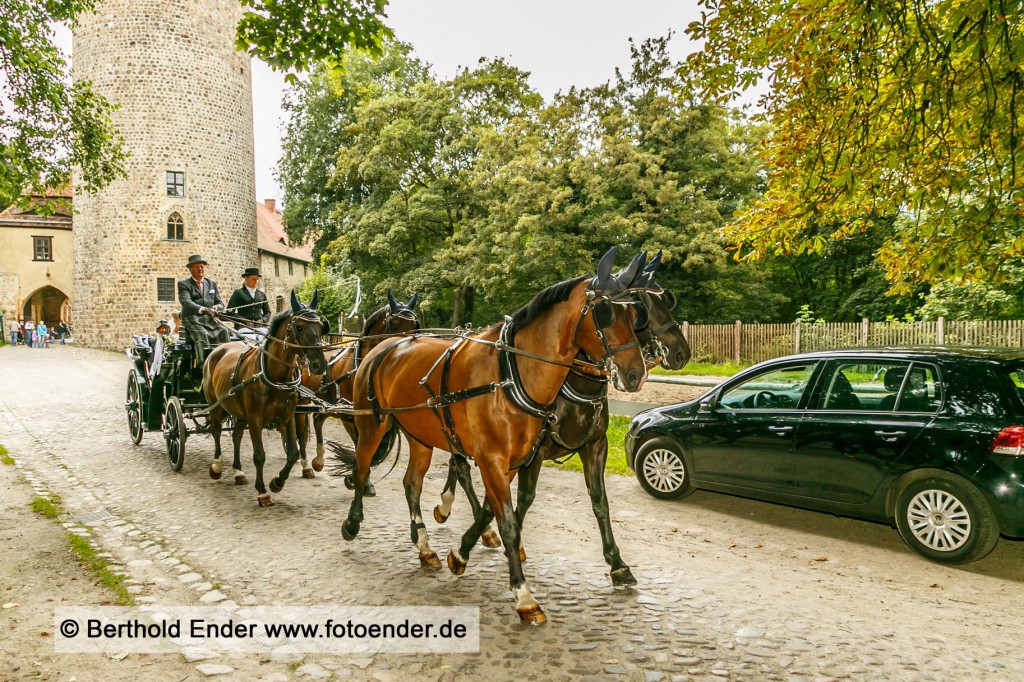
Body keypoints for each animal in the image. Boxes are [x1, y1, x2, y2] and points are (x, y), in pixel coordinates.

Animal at [199, 290, 327, 503]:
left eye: (320, 326)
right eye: (299, 327)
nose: (320, 365)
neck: (275, 376)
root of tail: (216, 350)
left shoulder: (287, 417)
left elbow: (292, 453)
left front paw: (277, 482)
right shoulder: (255, 419)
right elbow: (259, 455)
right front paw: (262, 491)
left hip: (240, 412)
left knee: (236, 435)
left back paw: (238, 472)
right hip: (216, 406)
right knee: (216, 431)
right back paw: (216, 466)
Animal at [296, 288, 419, 485]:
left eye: (415, 325)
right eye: (392, 324)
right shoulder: (350, 417)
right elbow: (360, 448)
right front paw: (360, 479)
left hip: (328, 402)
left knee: (317, 418)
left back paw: (318, 461)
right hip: (302, 399)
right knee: (298, 427)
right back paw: (305, 463)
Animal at [342, 245, 647, 622]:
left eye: (634, 312)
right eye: (604, 312)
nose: (635, 374)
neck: (512, 374)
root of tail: (384, 347)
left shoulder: (520, 459)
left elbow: (501, 510)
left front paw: (461, 553)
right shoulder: (493, 459)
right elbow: (509, 522)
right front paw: (523, 594)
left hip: (421, 436)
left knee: (412, 484)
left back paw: (425, 547)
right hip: (372, 425)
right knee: (362, 467)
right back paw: (353, 523)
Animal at [432, 251, 688, 581]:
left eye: (666, 300)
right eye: (641, 306)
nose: (681, 353)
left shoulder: (595, 446)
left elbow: (599, 501)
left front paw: (617, 562)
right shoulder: (532, 452)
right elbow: (519, 499)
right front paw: (481, 547)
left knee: (458, 463)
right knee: (462, 468)